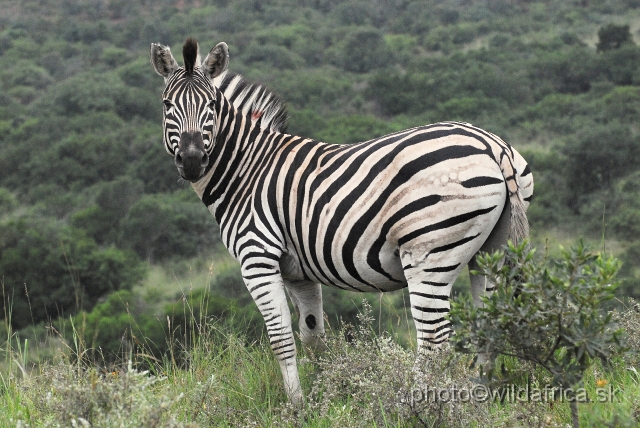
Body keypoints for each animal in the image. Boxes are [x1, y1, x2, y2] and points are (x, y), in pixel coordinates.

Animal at [150, 37, 536, 404]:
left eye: (211, 106)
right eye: (167, 105)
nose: (192, 161)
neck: (246, 169)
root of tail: (492, 146)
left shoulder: (256, 257)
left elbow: (281, 339)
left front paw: (296, 406)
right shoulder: (299, 273)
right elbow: (313, 336)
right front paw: (326, 396)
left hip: (430, 251)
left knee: (433, 339)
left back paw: (414, 404)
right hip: (489, 251)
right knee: (486, 326)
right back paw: (477, 401)